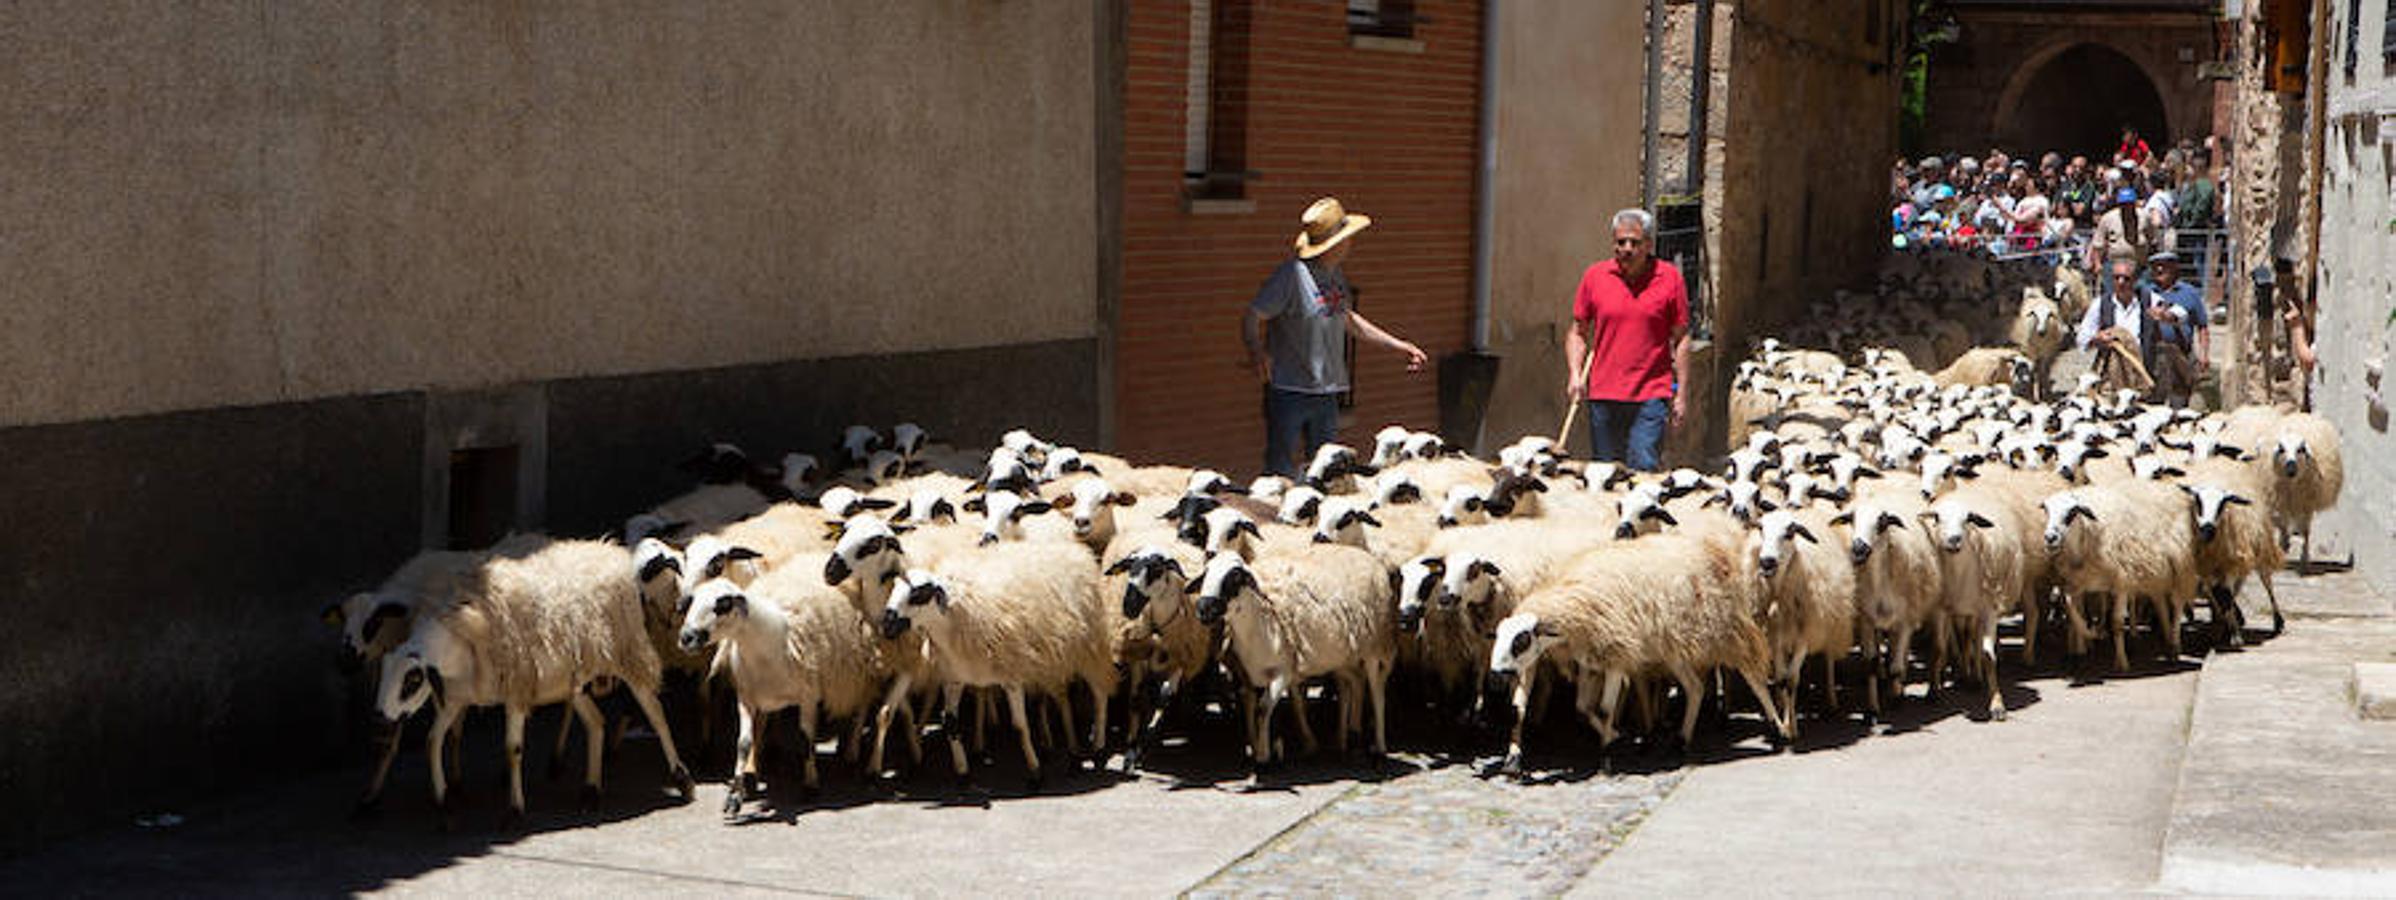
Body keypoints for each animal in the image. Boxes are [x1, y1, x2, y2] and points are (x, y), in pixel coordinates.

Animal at [373, 538, 694, 828]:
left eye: (412, 681)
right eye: (384, 675)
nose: (380, 720)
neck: (459, 634)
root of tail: (609, 551)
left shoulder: (517, 688)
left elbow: (513, 749)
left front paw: (514, 811)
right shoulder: (456, 697)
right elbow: (433, 741)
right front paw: (444, 801)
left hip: (628, 654)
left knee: (656, 714)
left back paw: (683, 779)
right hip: (572, 680)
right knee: (596, 723)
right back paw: (591, 791)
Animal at [680, 569, 896, 813]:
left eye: (723, 604)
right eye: (692, 601)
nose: (686, 638)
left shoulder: (808, 697)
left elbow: (806, 740)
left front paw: (810, 786)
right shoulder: (746, 698)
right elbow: (743, 743)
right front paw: (735, 795)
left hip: (861, 669)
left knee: (861, 707)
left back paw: (851, 752)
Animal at [891, 533, 1111, 785]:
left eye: (918, 594)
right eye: (892, 589)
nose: (886, 623)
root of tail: (1078, 552)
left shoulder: (1012, 677)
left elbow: (1019, 726)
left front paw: (1035, 772)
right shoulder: (953, 678)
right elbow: (950, 724)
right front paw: (963, 772)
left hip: (1088, 648)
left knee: (1100, 693)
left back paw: (1098, 746)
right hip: (1055, 658)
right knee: (1062, 696)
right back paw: (1072, 751)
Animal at [1188, 545, 1399, 761]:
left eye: (1235, 576)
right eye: (1205, 574)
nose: (1204, 608)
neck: (1261, 621)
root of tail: (1367, 556)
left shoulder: (1283, 671)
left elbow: (1263, 709)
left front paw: (1264, 756)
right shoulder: (1247, 673)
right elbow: (1252, 706)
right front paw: (1262, 748)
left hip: (1375, 647)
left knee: (1377, 693)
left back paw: (1379, 746)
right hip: (1343, 656)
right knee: (1353, 685)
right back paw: (1347, 739)